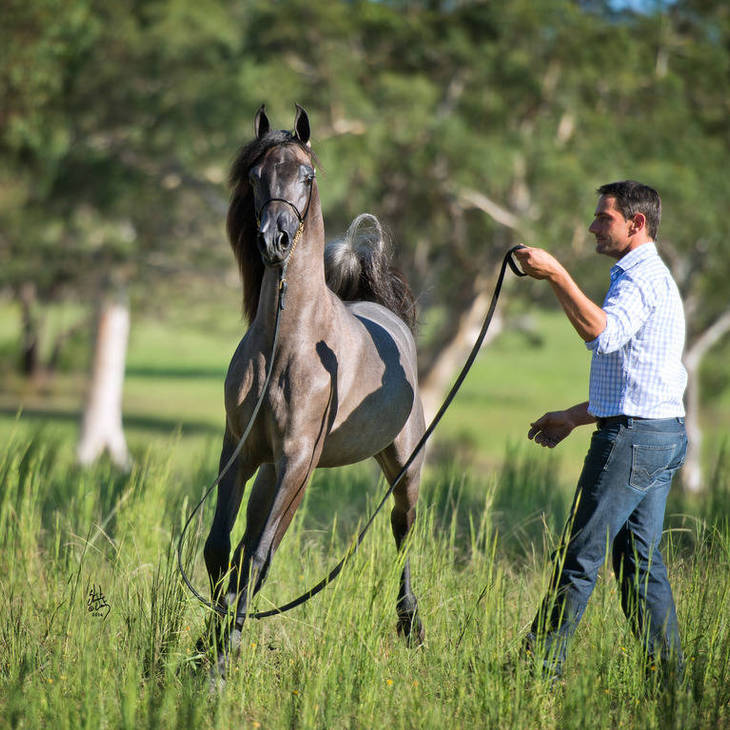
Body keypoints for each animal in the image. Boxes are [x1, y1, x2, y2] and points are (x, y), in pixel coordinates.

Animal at [202, 104, 426, 675]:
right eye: (255, 174)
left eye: (307, 175)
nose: (273, 241)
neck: (288, 345)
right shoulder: (241, 453)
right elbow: (221, 550)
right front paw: (206, 644)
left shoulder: (299, 461)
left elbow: (259, 558)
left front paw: (221, 662)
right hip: (269, 472)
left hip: (402, 468)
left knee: (403, 532)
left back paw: (410, 625)